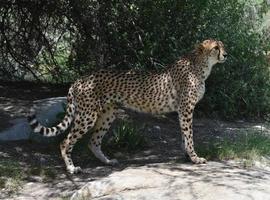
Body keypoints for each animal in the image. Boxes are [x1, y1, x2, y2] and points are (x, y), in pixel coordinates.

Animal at [28, 39, 228, 173]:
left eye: (222, 45)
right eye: (215, 47)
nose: (226, 54)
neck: (201, 65)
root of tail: (80, 79)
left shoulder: (182, 110)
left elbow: (184, 135)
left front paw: (187, 156)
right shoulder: (186, 108)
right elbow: (189, 135)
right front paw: (195, 158)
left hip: (108, 114)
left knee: (93, 141)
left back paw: (107, 161)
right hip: (87, 115)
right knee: (65, 141)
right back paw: (71, 168)